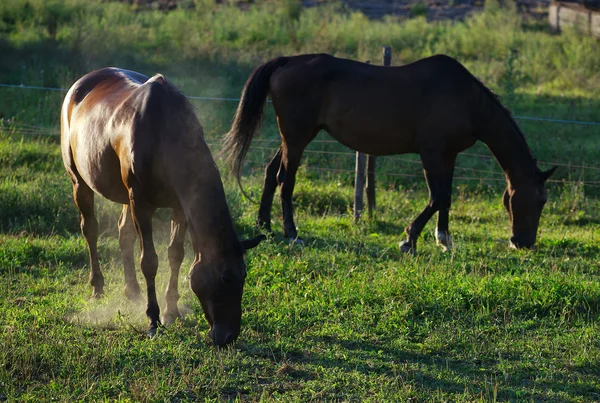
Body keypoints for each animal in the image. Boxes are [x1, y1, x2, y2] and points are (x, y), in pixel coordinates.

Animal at [61, 68, 264, 346]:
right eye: (225, 277)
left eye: (244, 277)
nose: (229, 336)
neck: (164, 134)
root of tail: (82, 84)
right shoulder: (141, 203)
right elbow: (150, 261)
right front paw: (153, 320)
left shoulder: (179, 207)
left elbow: (175, 254)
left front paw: (171, 311)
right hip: (80, 182)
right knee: (90, 229)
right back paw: (97, 287)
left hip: (125, 197)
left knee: (124, 233)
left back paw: (132, 290)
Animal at [225, 53, 556, 254]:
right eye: (539, 201)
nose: (524, 243)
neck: (466, 101)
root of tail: (287, 62)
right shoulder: (431, 153)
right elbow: (438, 197)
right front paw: (409, 239)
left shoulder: (448, 155)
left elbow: (446, 198)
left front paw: (443, 239)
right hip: (297, 138)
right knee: (286, 179)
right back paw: (292, 234)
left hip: (293, 138)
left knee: (271, 173)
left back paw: (265, 226)